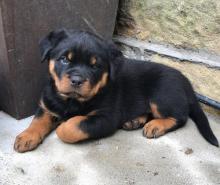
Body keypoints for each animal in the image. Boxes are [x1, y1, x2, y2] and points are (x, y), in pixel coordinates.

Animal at [13, 28, 218, 152]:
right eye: (64, 59)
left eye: (95, 66)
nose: (77, 80)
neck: (71, 101)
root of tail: (185, 80)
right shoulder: (47, 104)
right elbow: (37, 120)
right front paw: (26, 137)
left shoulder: (106, 118)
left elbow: (72, 126)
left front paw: (63, 125)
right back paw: (135, 121)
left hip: (162, 96)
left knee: (180, 117)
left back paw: (155, 126)